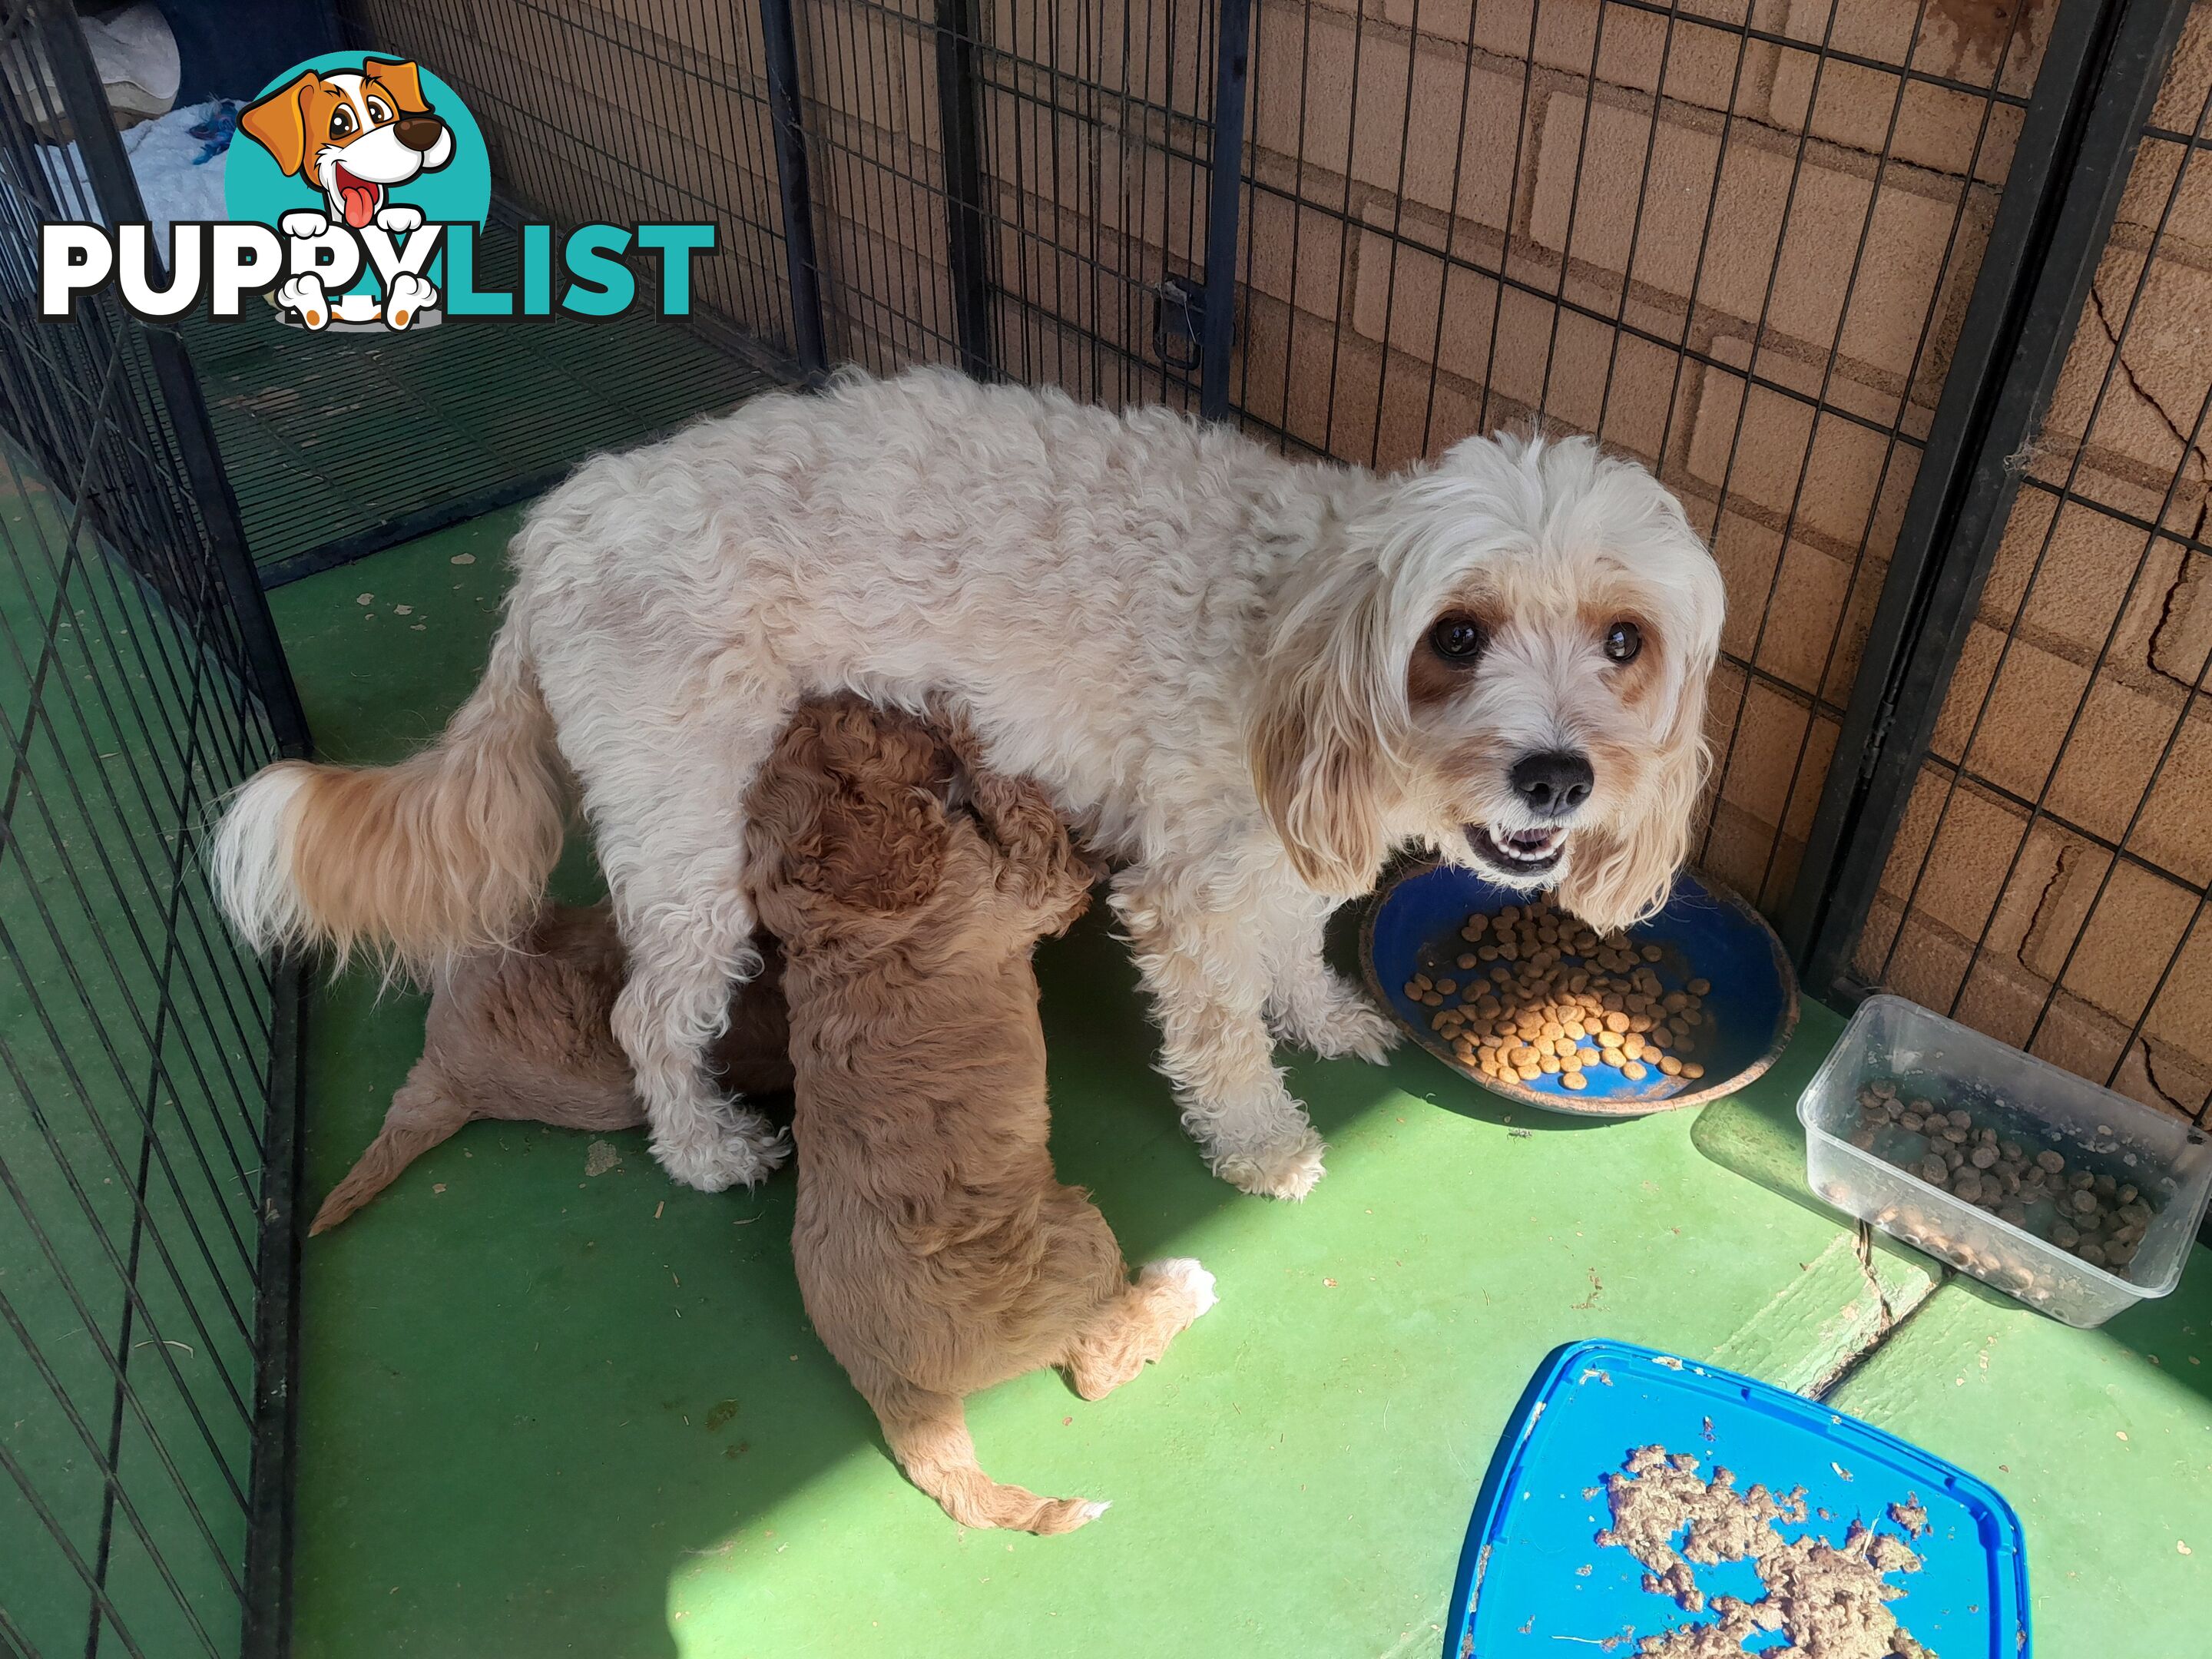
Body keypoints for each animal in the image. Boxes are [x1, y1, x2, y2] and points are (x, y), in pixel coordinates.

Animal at [752, 699, 1220, 1530]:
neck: (836, 926)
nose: (831, 698)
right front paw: (970, 736)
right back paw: (1183, 1286)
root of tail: (887, 1380)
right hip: (1068, 1243)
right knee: (1094, 1363)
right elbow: (1032, 828)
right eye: (858, 742)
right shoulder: (1015, 889)